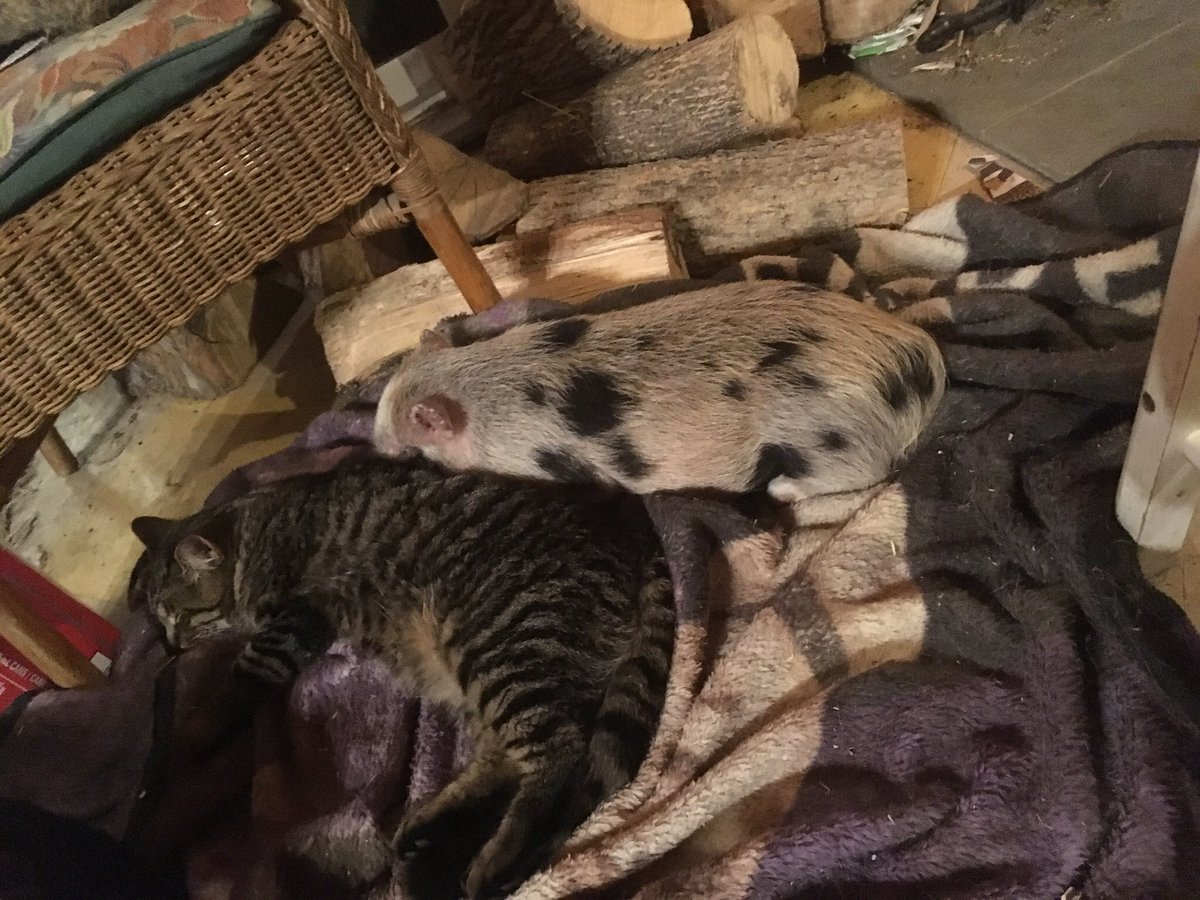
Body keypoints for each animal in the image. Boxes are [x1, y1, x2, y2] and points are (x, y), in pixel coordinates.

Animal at [373, 281, 946, 502]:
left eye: (414, 440)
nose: (375, 443)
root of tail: (912, 357)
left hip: (823, 435)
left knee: (862, 471)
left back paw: (781, 491)